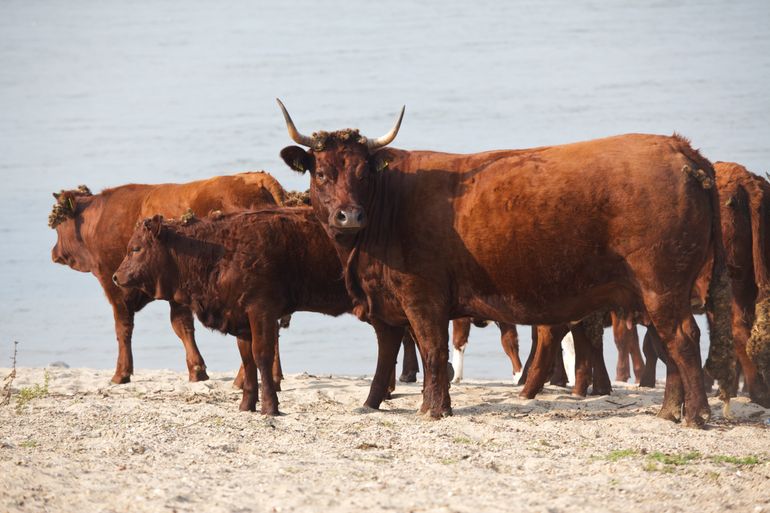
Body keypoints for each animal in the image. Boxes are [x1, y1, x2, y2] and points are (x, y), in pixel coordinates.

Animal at [50, 172, 284, 384]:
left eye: (59, 225)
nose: (54, 252)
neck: (99, 219)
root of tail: (257, 178)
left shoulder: (114, 286)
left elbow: (124, 328)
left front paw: (120, 374)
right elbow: (181, 326)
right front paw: (197, 370)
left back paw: (242, 380)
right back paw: (273, 378)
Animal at [112, 206, 408, 414]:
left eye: (136, 248)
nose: (116, 276)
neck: (221, 249)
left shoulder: (261, 311)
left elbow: (262, 355)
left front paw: (270, 407)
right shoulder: (241, 318)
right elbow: (247, 360)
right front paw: (246, 405)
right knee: (389, 342)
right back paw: (372, 401)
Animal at [278, 99, 732, 424]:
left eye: (363, 173)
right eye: (321, 173)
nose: (349, 216)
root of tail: (679, 148)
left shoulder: (421, 296)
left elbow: (432, 350)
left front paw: (433, 410)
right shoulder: (393, 303)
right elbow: (401, 353)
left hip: (663, 284)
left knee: (683, 339)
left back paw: (696, 415)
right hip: (657, 291)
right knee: (668, 343)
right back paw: (669, 412)